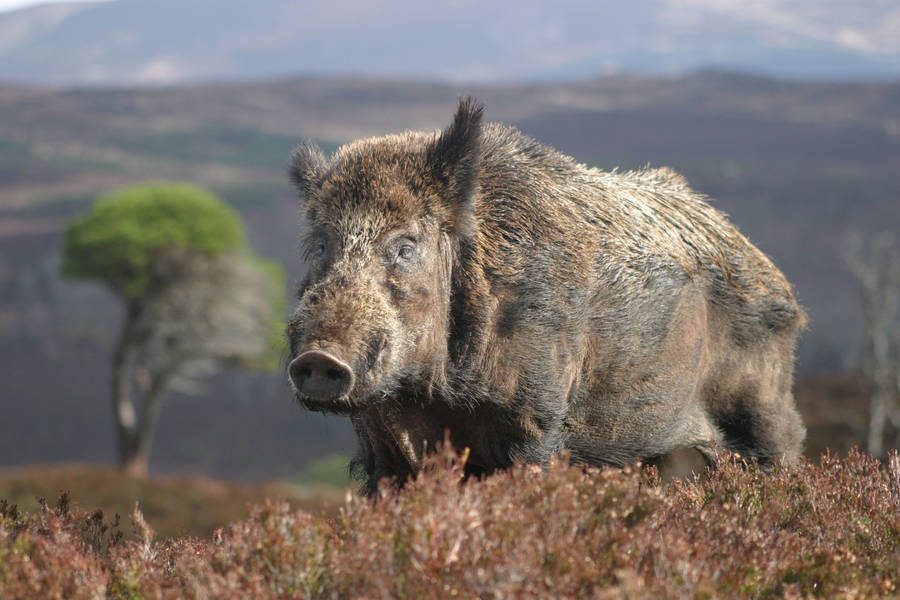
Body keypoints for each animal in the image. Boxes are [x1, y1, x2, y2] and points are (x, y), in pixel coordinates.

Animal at [286, 98, 806, 495]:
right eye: (322, 244)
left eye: (405, 246)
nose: (318, 356)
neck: (432, 399)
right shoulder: (380, 444)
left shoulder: (537, 419)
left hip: (764, 412)